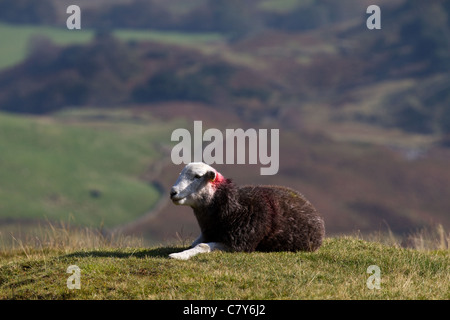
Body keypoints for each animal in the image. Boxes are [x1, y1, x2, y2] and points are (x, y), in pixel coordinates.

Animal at [168, 162, 324, 260]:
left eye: (198, 176)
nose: (173, 192)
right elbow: (196, 243)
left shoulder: (240, 243)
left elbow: (201, 246)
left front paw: (178, 255)